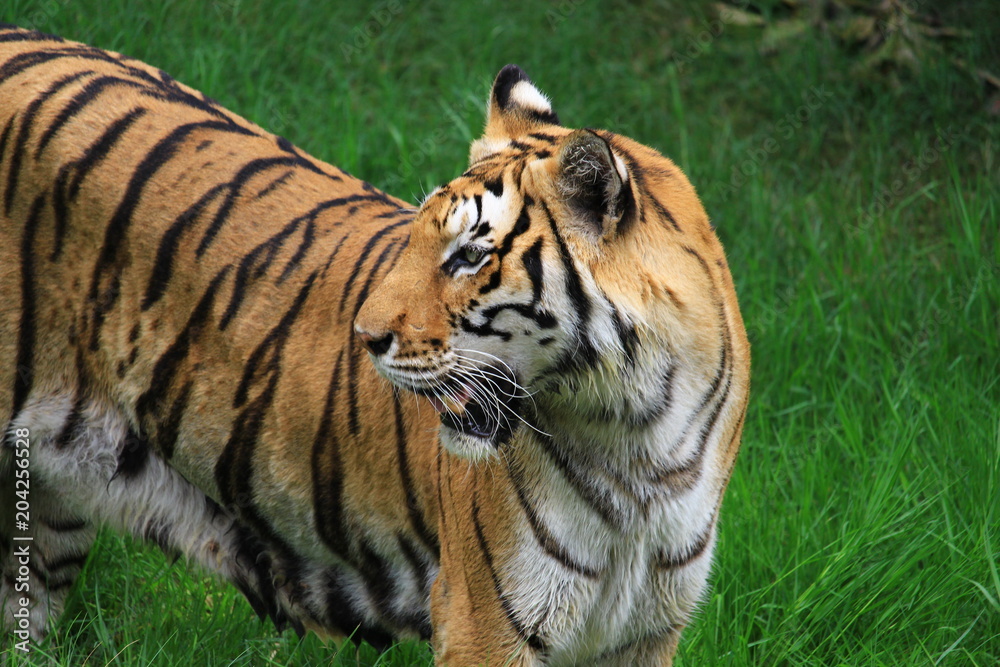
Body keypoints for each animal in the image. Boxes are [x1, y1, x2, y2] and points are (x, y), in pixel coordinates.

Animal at [0, 23, 752, 664]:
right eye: (418, 238)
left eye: (469, 256)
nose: (364, 336)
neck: (639, 441)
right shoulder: (486, 621)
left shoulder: (645, 630)